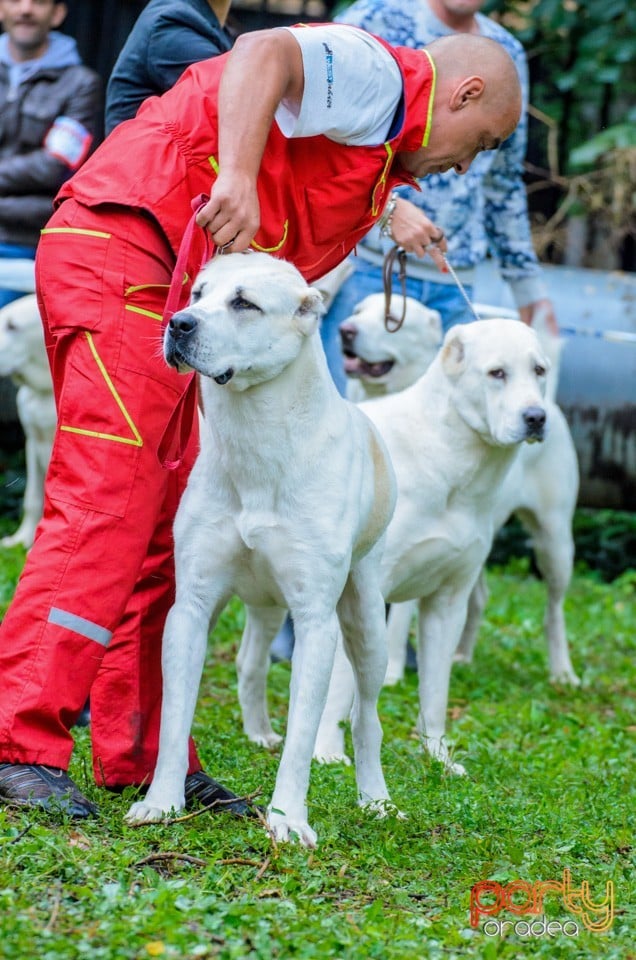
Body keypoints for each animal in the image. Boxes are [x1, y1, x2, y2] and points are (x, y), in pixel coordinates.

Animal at [340, 292, 580, 688]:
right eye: (497, 373)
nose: (535, 417)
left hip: (554, 543)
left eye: (538, 371)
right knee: (479, 599)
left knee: (554, 611)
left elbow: (397, 620)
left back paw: (562, 671)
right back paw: (462, 656)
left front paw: (392, 671)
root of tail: (555, 405)